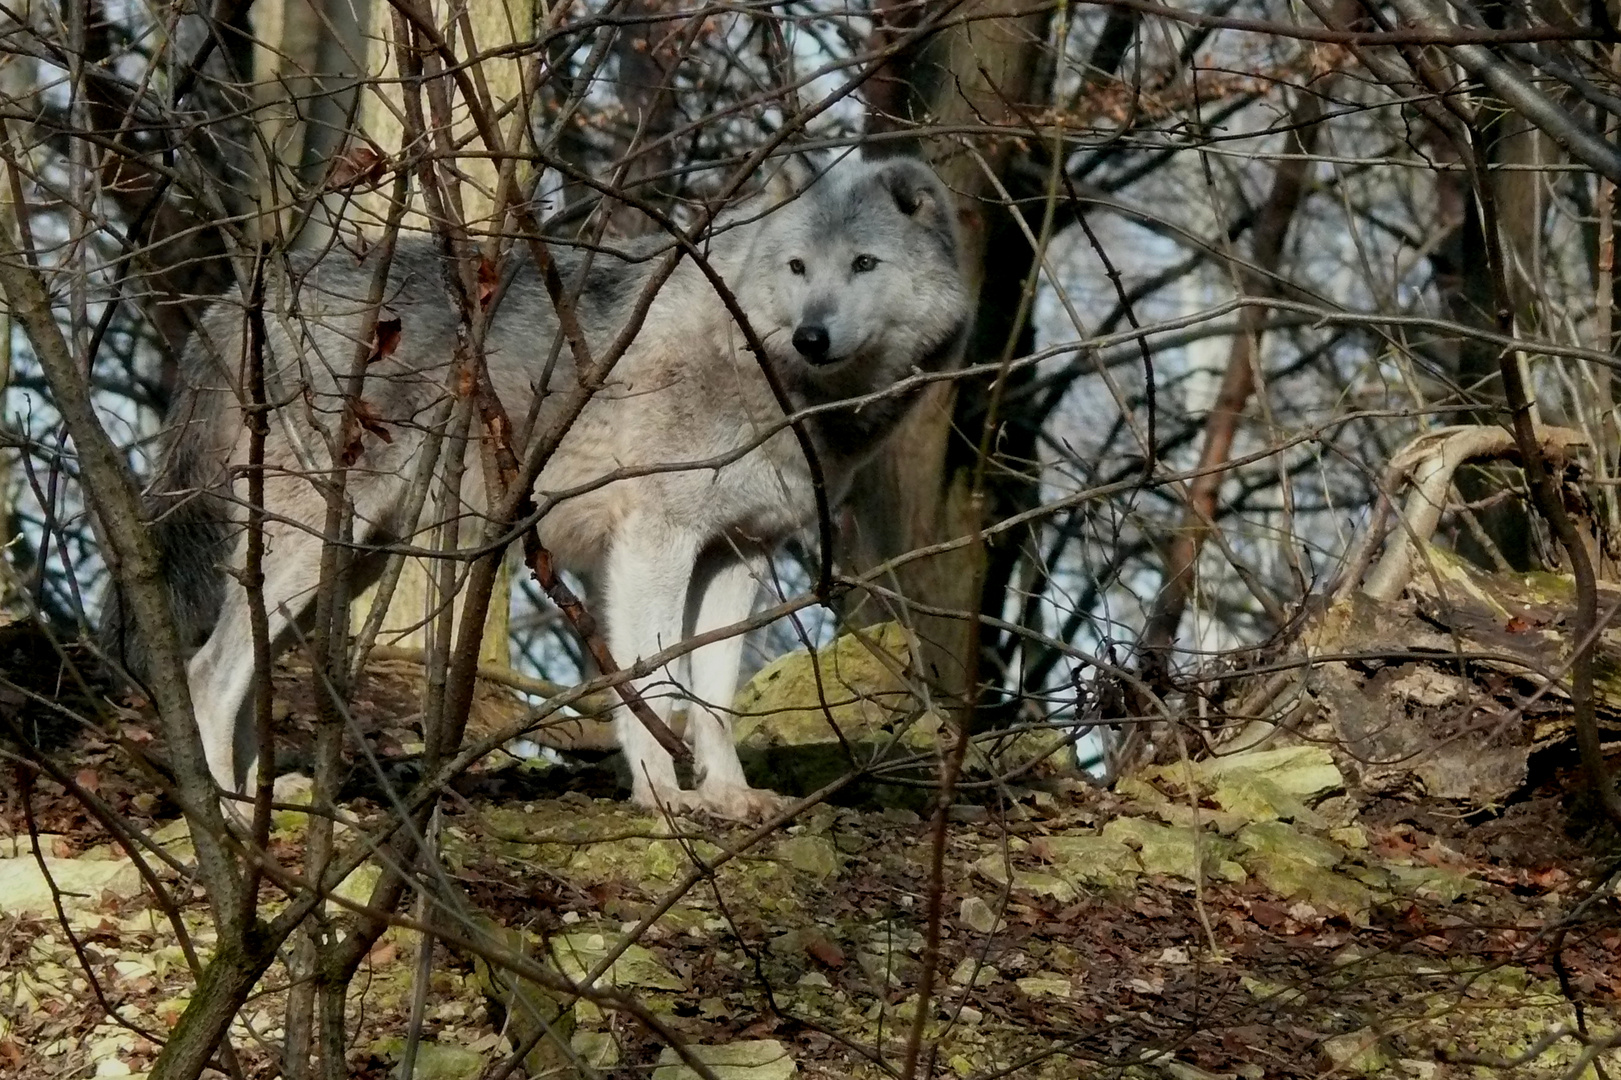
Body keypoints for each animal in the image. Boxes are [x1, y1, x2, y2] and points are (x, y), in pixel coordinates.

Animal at [111, 151, 972, 817]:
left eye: (863, 265)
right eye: (797, 268)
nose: (810, 336)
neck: (761, 370)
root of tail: (233, 302)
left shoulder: (736, 555)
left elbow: (714, 699)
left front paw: (728, 797)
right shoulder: (653, 543)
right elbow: (654, 681)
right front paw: (663, 798)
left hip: (347, 565)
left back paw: (266, 800)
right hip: (321, 549)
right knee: (207, 673)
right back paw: (227, 815)